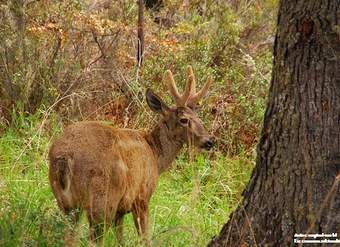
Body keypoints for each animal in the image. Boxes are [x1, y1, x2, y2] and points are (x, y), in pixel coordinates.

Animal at [47, 65, 215, 245]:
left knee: (69, 237)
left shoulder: (120, 210)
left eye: (198, 117)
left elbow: (120, 239)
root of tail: (65, 157)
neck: (155, 154)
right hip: (102, 199)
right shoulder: (141, 197)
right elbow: (145, 238)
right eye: (184, 119)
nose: (209, 141)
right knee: (94, 239)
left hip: (65, 201)